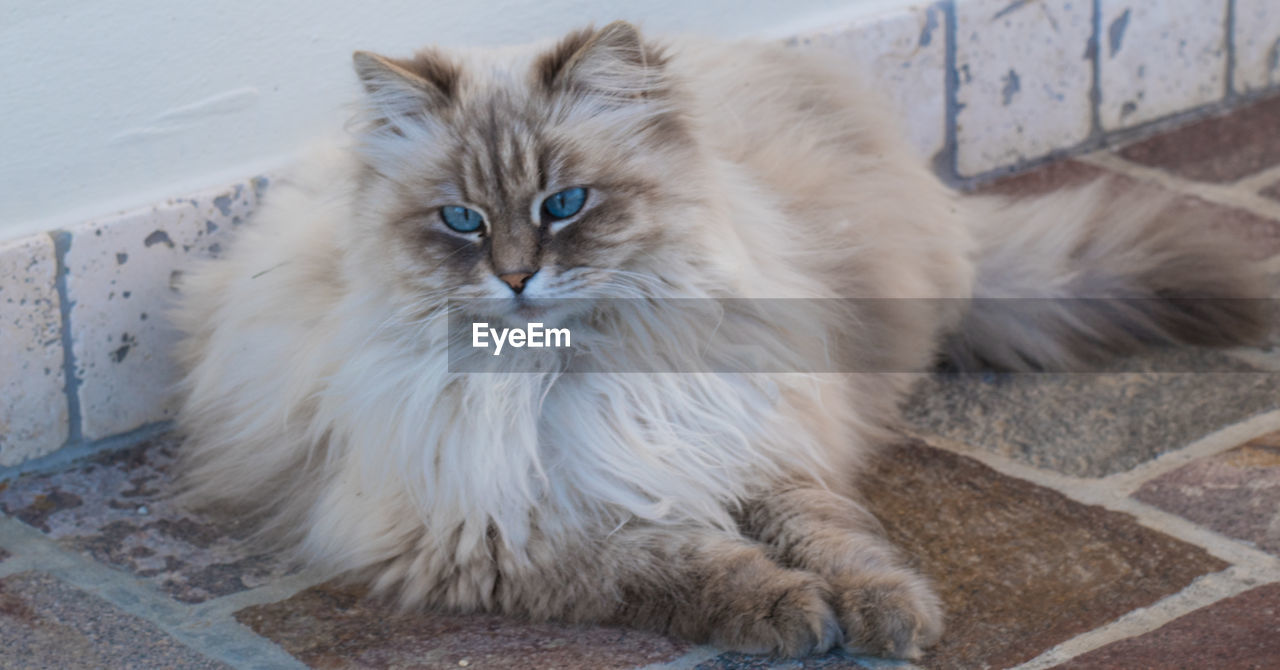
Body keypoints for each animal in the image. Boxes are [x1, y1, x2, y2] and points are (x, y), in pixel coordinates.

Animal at [170, 22, 1269, 661]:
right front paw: (794, 619)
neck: (581, 371)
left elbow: (837, 544)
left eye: (564, 204)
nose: (516, 279)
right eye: (461, 221)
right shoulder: (513, 531)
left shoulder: (752, 448)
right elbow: (683, 569)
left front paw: (885, 618)